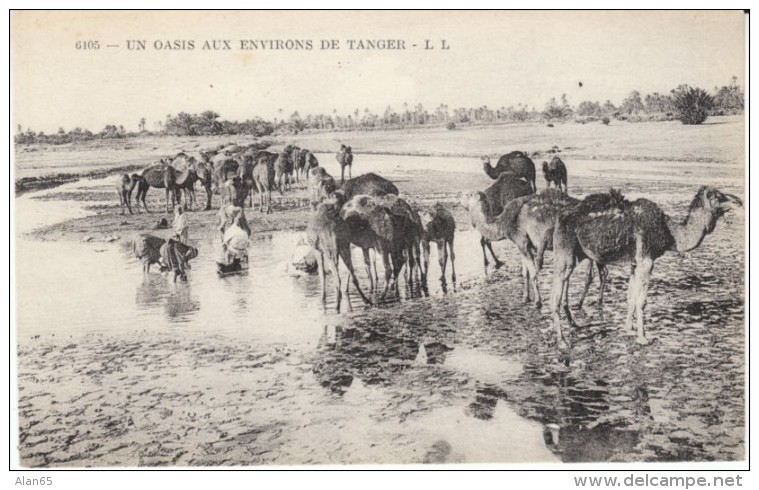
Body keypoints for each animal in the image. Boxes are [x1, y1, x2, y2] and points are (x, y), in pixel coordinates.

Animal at [548, 186, 744, 346]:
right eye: (718, 196)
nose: (739, 201)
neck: (671, 233)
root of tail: (560, 218)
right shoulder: (646, 261)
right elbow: (642, 301)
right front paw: (643, 338)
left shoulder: (635, 264)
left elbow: (631, 298)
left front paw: (629, 330)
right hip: (565, 251)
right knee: (555, 295)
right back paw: (562, 341)